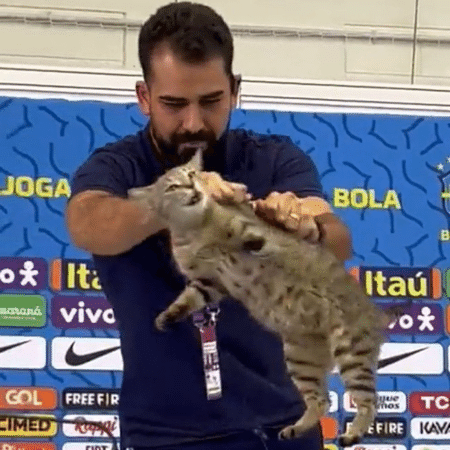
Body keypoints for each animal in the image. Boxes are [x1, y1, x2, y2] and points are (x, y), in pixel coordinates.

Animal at [129, 151, 386, 446]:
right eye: (172, 187)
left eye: (193, 175)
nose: (193, 186)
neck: (194, 228)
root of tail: (377, 312)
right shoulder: (208, 282)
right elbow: (186, 300)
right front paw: (167, 316)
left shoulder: (246, 234)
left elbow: (249, 236)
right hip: (300, 360)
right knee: (321, 401)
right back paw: (296, 428)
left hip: (350, 351)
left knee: (369, 401)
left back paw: (352, 433)